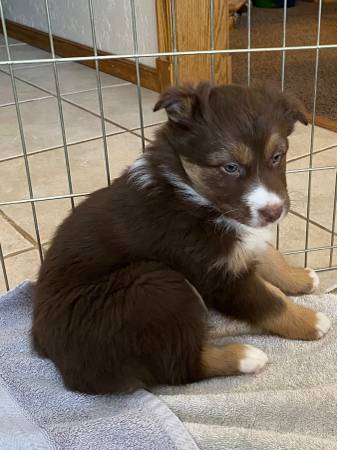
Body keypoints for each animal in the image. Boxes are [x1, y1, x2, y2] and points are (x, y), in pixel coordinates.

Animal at [32, 83, 330, 394]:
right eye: (230, 167)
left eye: (277, 157)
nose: (273, 212)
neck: (190, 191)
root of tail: (53, 356)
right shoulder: (217, 275)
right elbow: (270, 302)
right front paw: (311, 322)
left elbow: (269, 254)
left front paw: (299, 277)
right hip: (156, 284)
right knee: (179, 368)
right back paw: (245, 356)